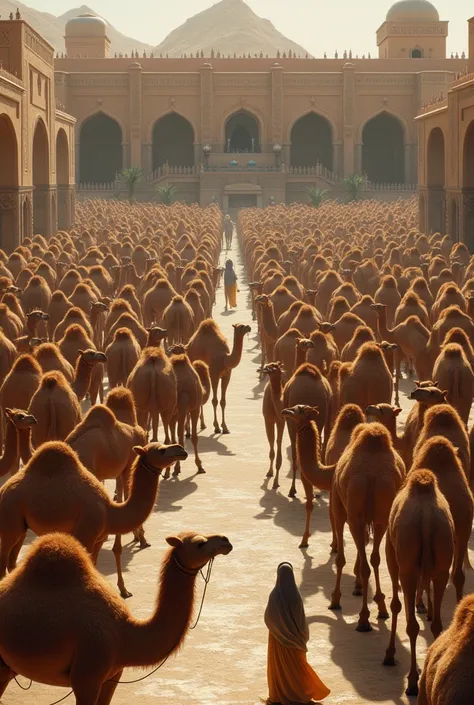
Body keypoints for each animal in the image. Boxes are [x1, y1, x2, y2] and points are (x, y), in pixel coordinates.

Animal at [0, 440, 187, 592]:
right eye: (161, 450)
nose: (181, 449)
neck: (110, 512)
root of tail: (3, 490)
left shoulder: (100, 539)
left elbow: (94, 566)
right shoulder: (86, 534)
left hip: (20, 526)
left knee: (12, 560)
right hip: (10, 514)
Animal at [330, 420, 404, 628]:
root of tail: (371, 475)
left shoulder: (338, 505)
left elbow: (340, 558)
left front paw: (336, 599)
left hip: (354, 508)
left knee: (364, 562)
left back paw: (363, 618)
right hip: (383, 510)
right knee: (374, 557)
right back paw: (381, 608)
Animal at [384, 470, 454, 696]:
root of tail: (427, 519)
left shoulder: (392, 556)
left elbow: (396, 605)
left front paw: (390, 654)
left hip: (405, 559)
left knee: (412, 625)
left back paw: (413, 682)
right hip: (443, 557)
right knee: (438, 623)